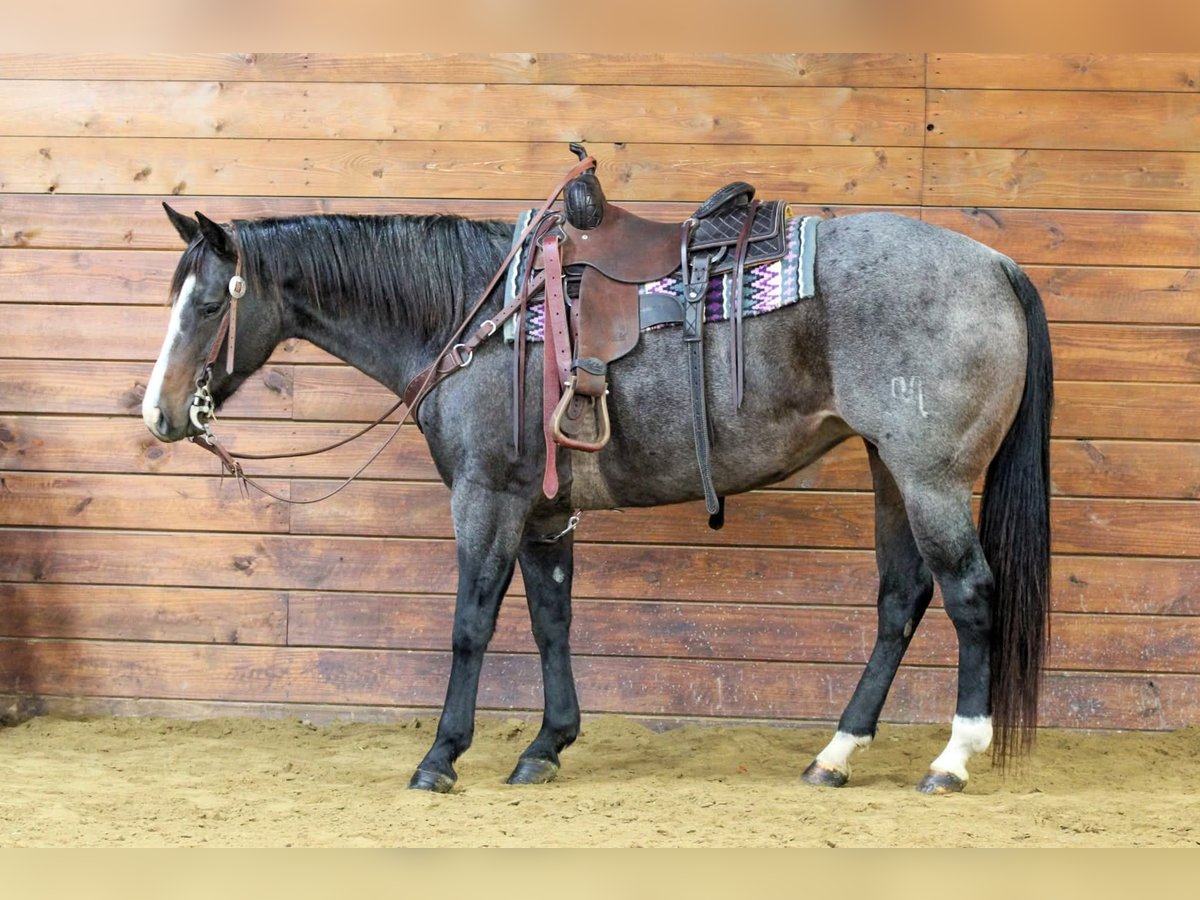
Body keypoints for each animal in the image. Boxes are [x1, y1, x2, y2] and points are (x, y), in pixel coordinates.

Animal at [143, 195, 1052, 795]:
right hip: (889, 468)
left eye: (208, 303)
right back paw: (835, 755)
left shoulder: (487, 498)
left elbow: (471, 625)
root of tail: (996, 265)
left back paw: (952, 759)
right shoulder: (544, 511)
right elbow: (553, 622)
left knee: (970, 594)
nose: (158, 413)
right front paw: (546, 746)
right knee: (901, 599)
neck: (475, 317)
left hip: (931, 476)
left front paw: (441, 757)